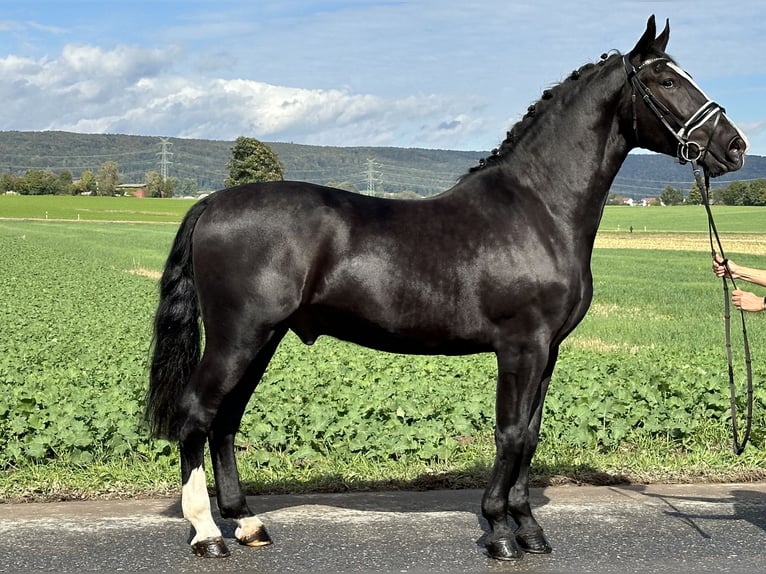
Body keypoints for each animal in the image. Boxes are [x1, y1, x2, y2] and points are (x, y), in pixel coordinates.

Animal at [147, 16, 748, 564]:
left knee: (225, 419)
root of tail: (211, 203)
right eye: (666, 80)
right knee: (197, 413)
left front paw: (530, 531)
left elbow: (531, 435)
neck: (538, 209)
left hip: (263, 338)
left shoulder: (548, 351)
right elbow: (510, 433)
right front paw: (500, 533)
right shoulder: (521, 346)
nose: (735, 146)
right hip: (239, 336)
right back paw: (206, 533)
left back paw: (248, 524)